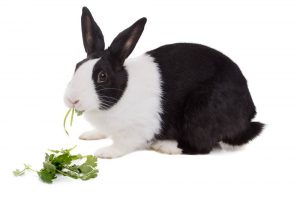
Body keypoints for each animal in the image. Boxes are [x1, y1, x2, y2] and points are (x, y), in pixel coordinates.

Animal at [63, 7, 264, 159]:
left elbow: (124, 143)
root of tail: (247, 116)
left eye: (102, 76)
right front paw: (90, 135)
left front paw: (105, 152)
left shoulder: (139, 128)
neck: (122, 93)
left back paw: (165, 146)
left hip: (201, 112)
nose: (72, 100)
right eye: (77, 66)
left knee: (201, 146)